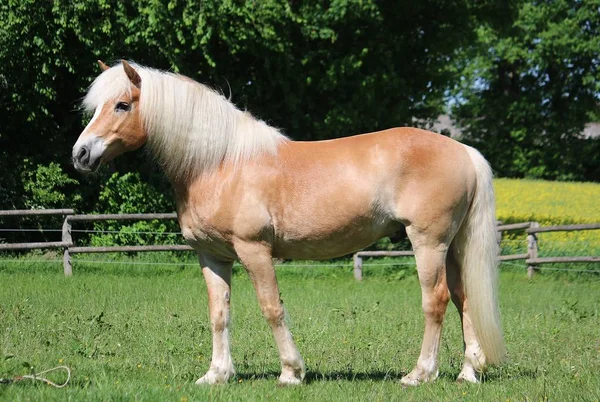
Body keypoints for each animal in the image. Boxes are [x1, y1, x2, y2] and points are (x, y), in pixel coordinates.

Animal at [71, 60, 506, 386]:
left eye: (122, 105)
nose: (81, 154)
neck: (219, 164)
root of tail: (464, 151)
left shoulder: (254, 250)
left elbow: (271, 308)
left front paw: (291, 372)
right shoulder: (212, 256)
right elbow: (219, 314)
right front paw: (216, 375)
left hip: (427, 242)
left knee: (436, 301)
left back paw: (420, 374)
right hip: (454, 245)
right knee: (464, 298)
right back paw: (468, 373)